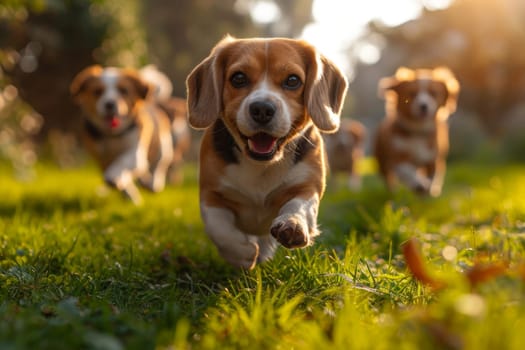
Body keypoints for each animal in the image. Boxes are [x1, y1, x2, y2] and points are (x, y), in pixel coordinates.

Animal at [70, 64, 189, 204]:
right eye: (98, 91)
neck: (113, 135)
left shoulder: (135, 152)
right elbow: (121, 174)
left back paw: (153, 183)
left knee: (159, 165)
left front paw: (113, 176)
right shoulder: (101, 157)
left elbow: (123, 162)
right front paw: (127, 191)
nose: (110, 104)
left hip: (164, 146)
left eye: (123, 90)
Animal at [185, 36, 348, 268]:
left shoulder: (308, 186)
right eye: (238, 78)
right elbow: (218, 228)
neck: (261, 164)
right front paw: (242, 253)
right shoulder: (211, 194)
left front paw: (293, 224)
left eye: (292, 80)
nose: (262, 109)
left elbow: (299, 206)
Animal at [372, 66, 458, 197]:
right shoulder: (397, 156)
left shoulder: (433, 158)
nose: (423, 106)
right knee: (389, 179)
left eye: (433, 93)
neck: (418, 132)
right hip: (382, 162)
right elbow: (408, 171)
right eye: (412, 93)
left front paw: (429, 190)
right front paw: (419, 184)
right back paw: (393, 192)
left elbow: (432, 176)